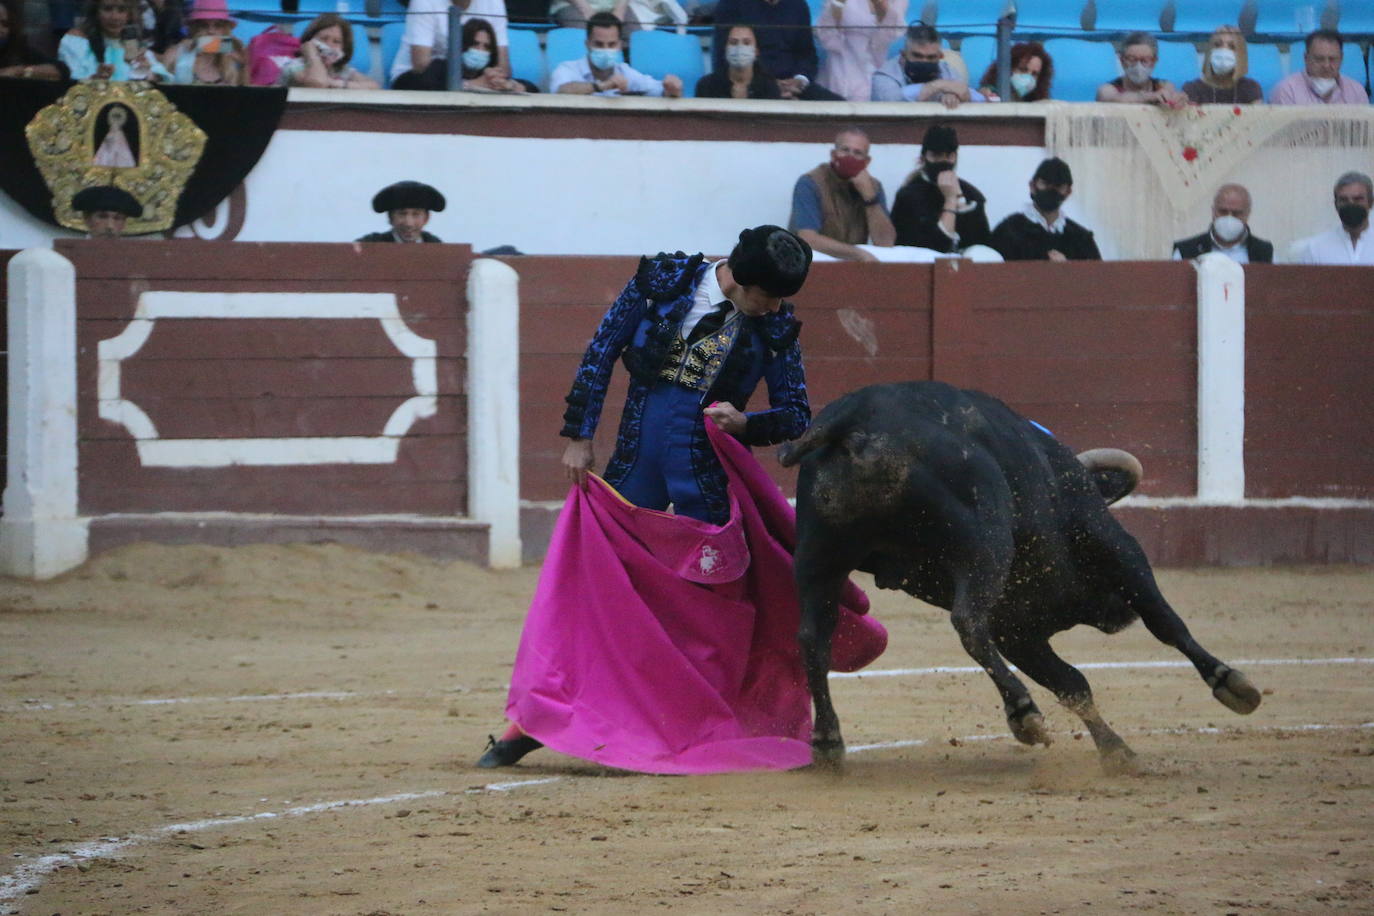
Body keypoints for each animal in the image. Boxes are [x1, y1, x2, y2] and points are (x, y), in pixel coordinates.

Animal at [780, 381, 1258, 774]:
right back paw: (1022, 712)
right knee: (966, 622)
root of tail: (853, 416)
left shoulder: (1016, 629)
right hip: (985, 546)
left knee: (813, 637)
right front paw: (1231, 683)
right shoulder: (1116, 548)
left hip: (818, 558)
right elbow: (1166, 623)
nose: (1118, 614)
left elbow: (1072, 684)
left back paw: (828, 741)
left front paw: (1116, 749)